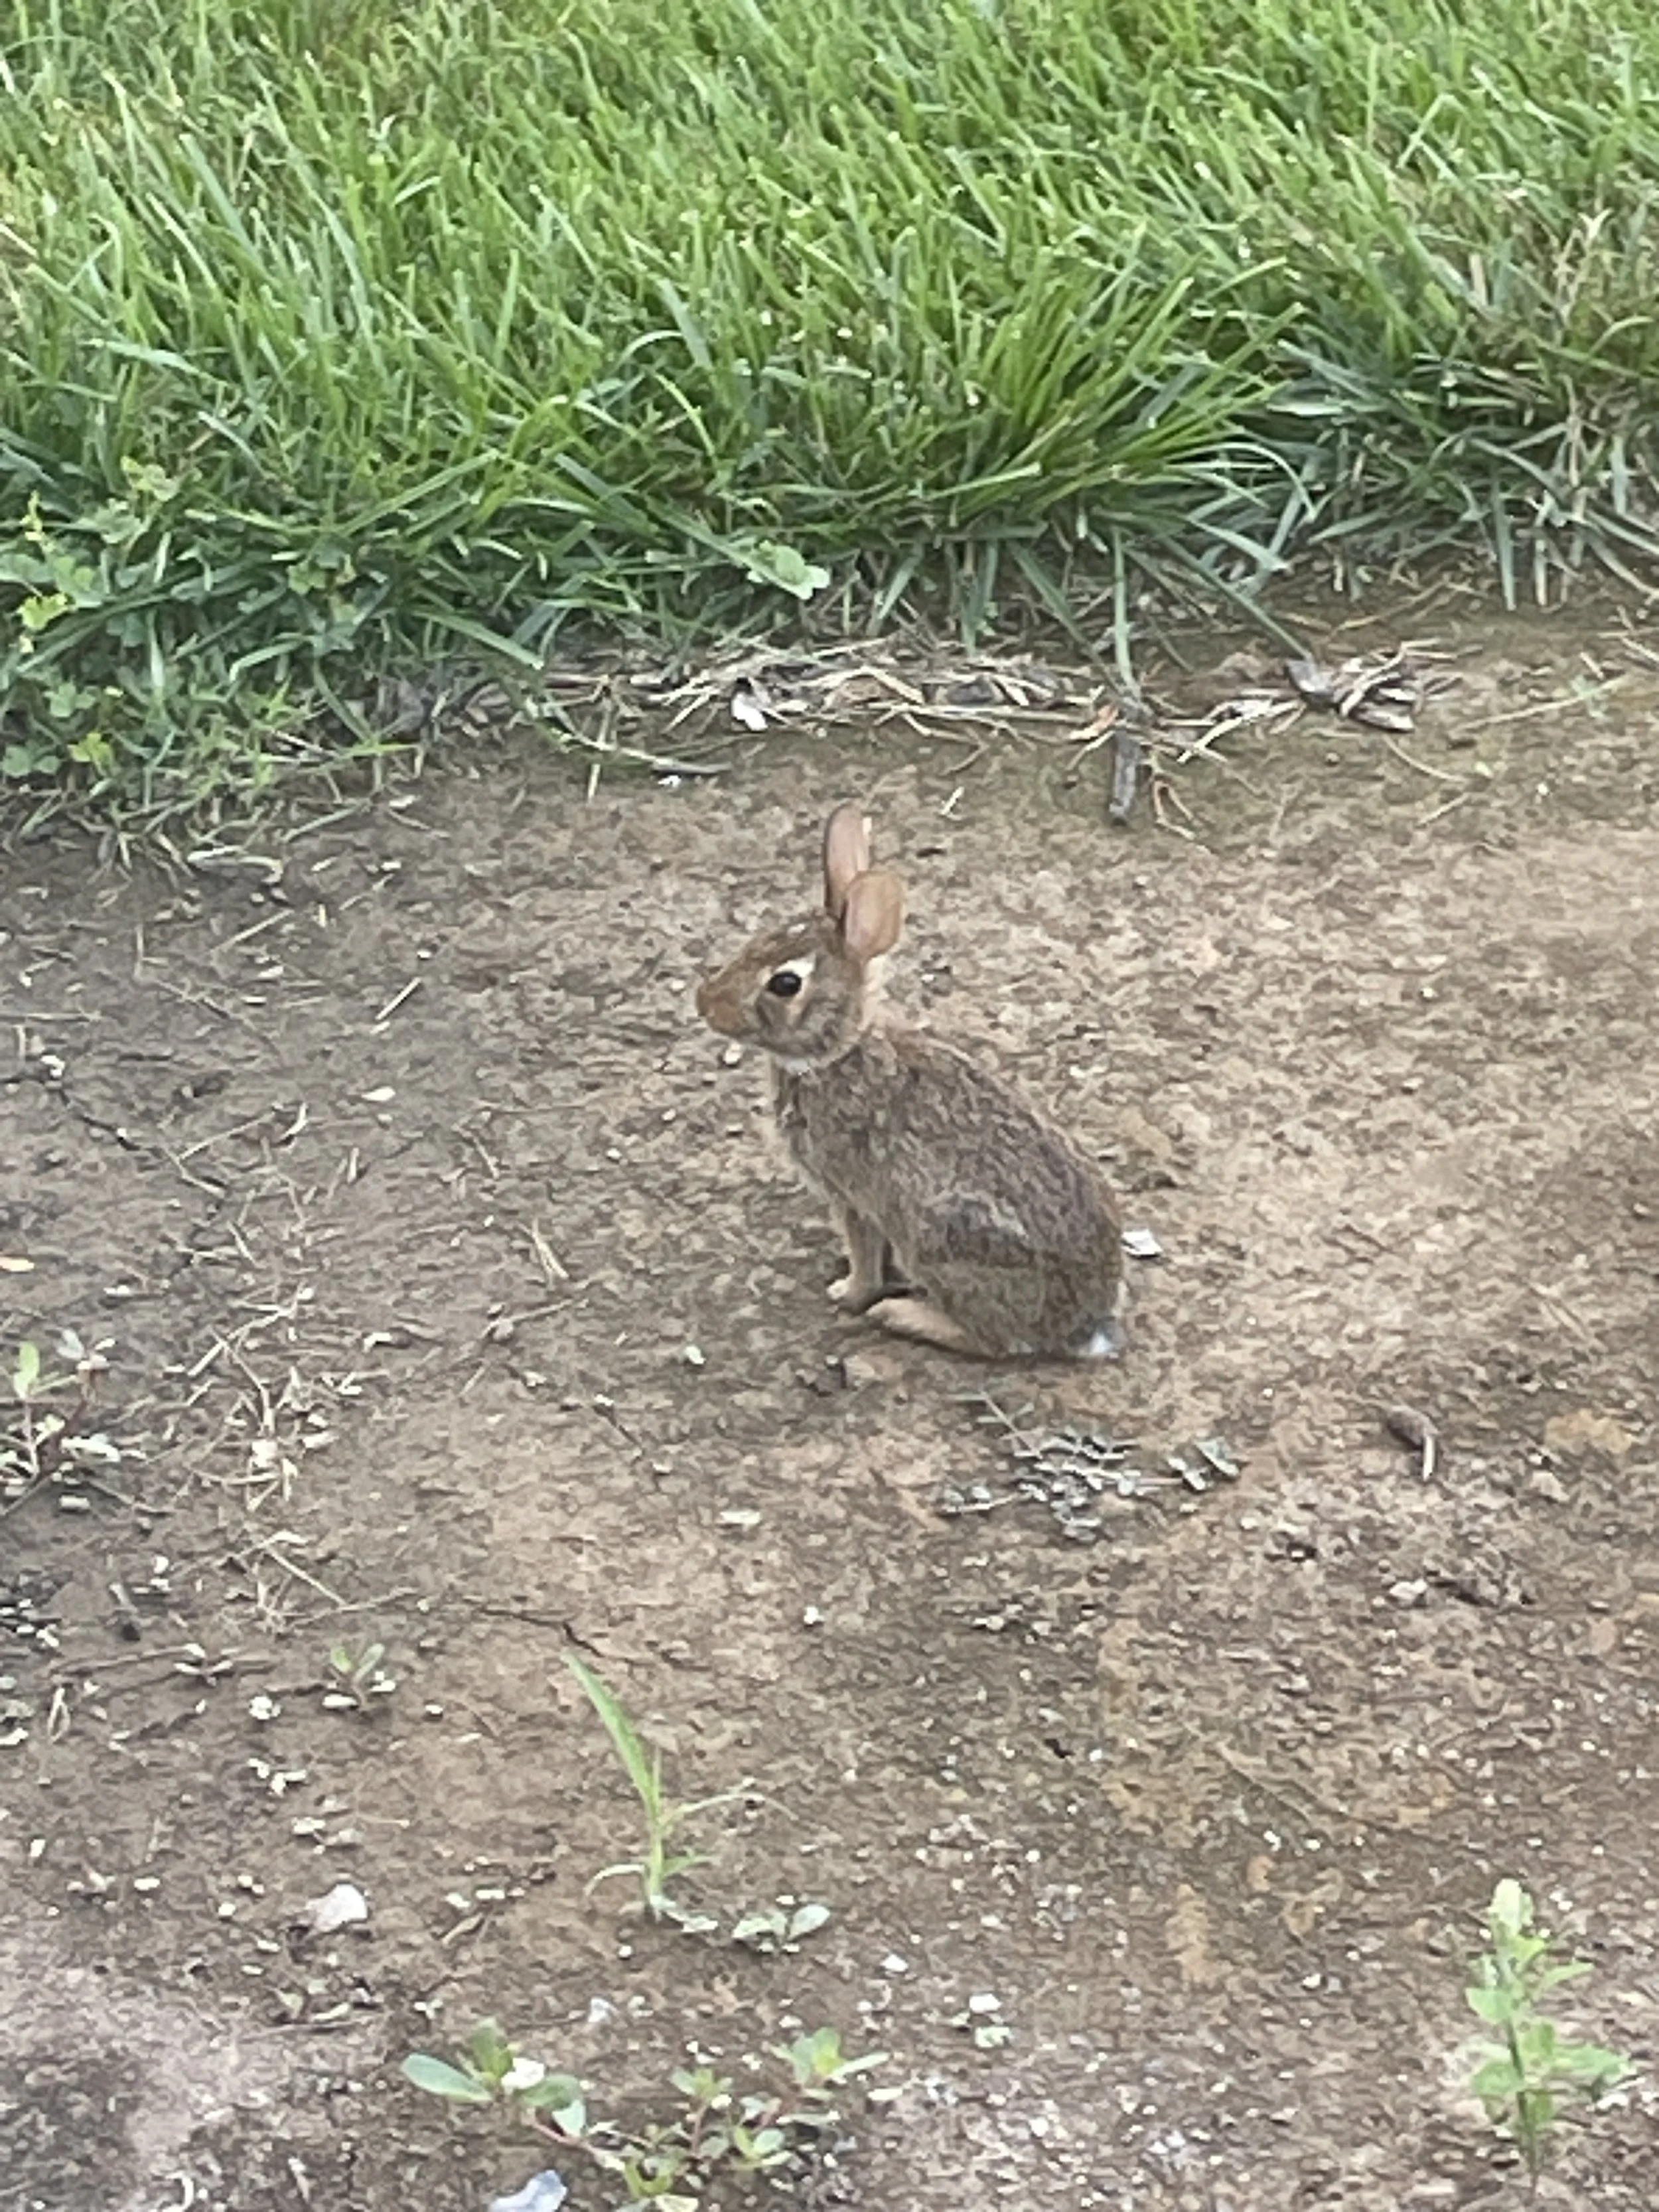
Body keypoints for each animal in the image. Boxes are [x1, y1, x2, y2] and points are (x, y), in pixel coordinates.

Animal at [695, 801, 1125, 1360]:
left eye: (785, 983)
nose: (705, 1003)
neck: (836, 1053)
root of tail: (1084, 1325)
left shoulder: (854, 1196)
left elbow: (864, 1255)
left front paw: (848, 1292)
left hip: (940, 1237)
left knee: (995, 1340)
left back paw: (903, 1315)